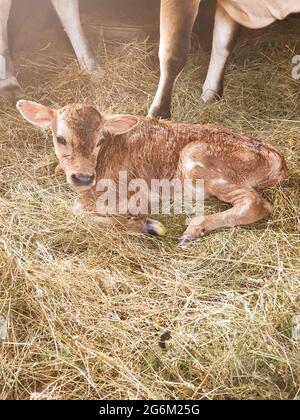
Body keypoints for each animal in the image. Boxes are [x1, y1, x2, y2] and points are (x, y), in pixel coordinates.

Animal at [15, 100, 286, 244]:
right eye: (60, 139)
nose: (83, 177)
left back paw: (192, 230)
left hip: (197, 158)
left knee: (256, 204)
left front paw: (145, 224)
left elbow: (78, 209)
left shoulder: (132, 192)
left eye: (100, 140)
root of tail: (276, 156)